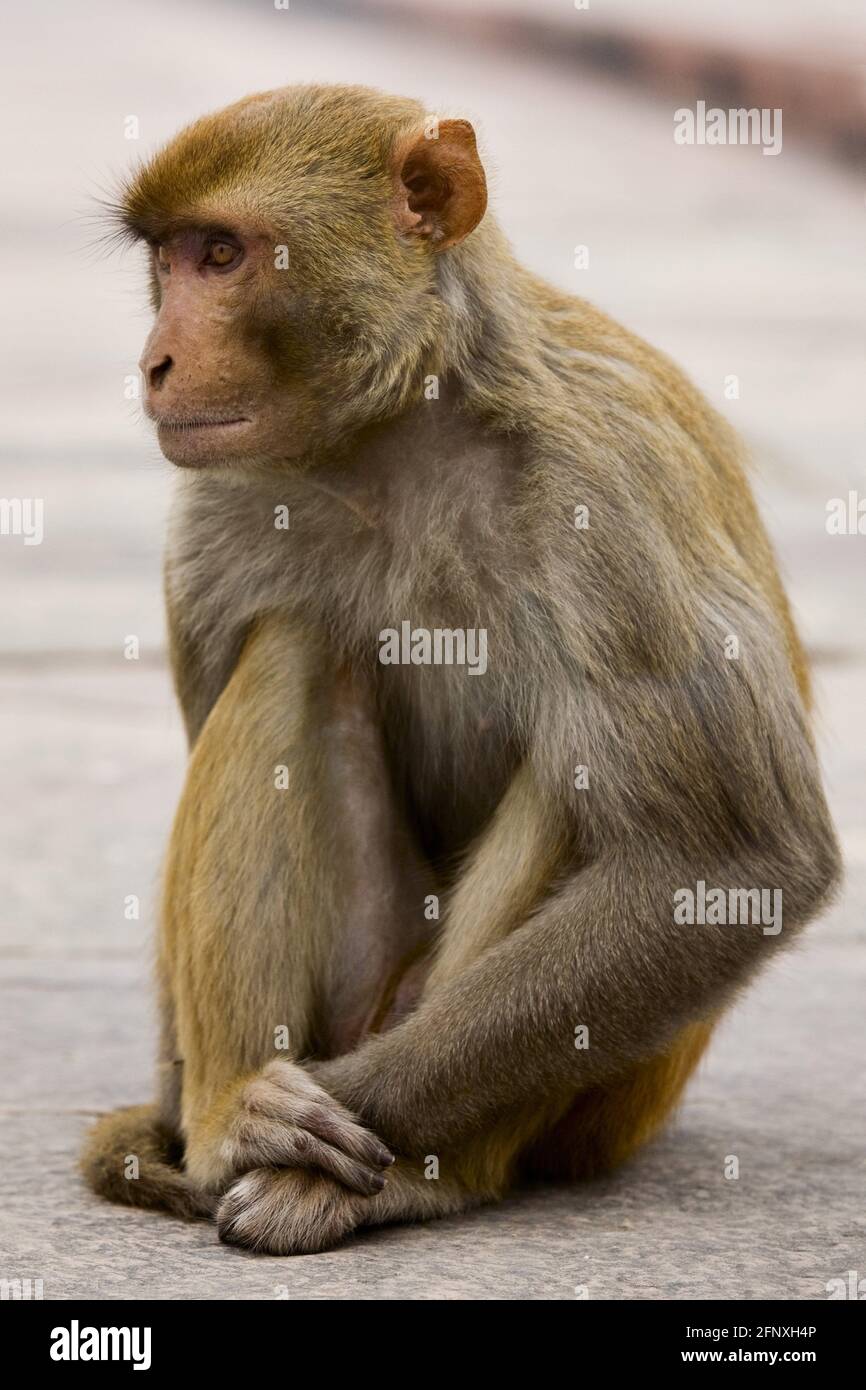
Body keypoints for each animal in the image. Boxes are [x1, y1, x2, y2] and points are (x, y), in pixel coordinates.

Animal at [81, 84, 841, 1256]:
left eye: (221, 253)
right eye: (169, 259)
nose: (154, 363)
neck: (404, 422)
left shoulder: (611, 483)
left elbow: (727, 859)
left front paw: (341, 1118)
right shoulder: (218, 502)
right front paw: (212, 1121)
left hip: (594, 1104)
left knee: (585, 773)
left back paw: (412, 1175)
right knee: (293, 647)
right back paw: (221, 1117)